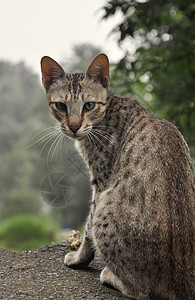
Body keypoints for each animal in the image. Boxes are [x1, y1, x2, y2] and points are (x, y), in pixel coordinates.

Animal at [40, 52, 194, 298]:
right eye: (61, 106)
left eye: (89, 105)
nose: (73, 126)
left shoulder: (100, 182)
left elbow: (87, 229)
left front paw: (79, 258)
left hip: (106, 207)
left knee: (142, 291)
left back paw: (109, 275)